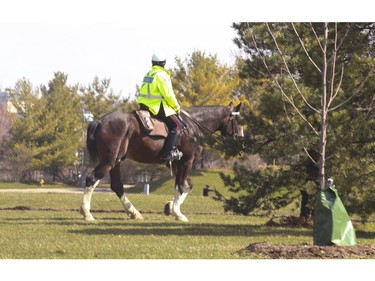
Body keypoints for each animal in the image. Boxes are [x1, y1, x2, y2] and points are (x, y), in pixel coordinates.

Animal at [79, 100, 244, 221]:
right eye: (237, 120)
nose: (241, 138)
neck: (192, 126)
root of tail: (100, 121)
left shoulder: (178, 164)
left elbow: (187, 185)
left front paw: (170, 207)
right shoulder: (187, 161)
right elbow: (181, 186)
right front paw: (178, 213)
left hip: (116, 162)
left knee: (117, 186)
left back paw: (134, 212)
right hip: (109, 161)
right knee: (91, 179)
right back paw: (87, 213)